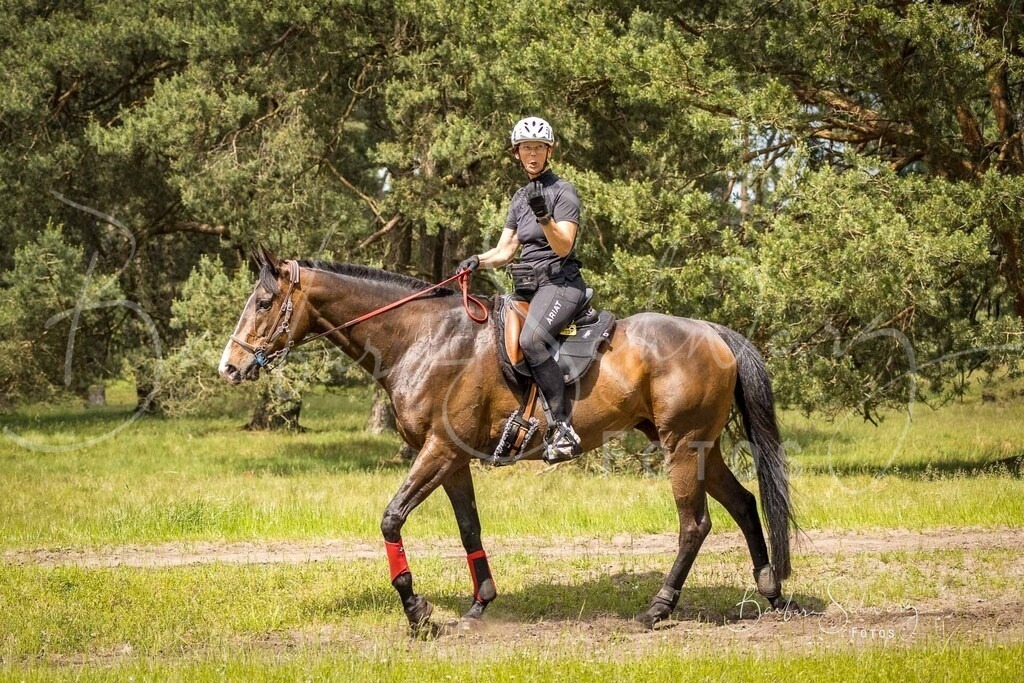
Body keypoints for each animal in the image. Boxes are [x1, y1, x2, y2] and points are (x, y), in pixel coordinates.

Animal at [218, 248, 797, 632]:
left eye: (265, 301)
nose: (229, 367)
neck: (423, 339)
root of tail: (713, 332)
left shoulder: (438, 451)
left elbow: (391, 519)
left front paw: (418, 611)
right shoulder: (452, 459)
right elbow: (468, 528)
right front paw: (480, 602)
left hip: (682, 448)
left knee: (694, 524)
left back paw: (659, 607)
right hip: (701, 449)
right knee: (745, 504)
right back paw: (769, 590)